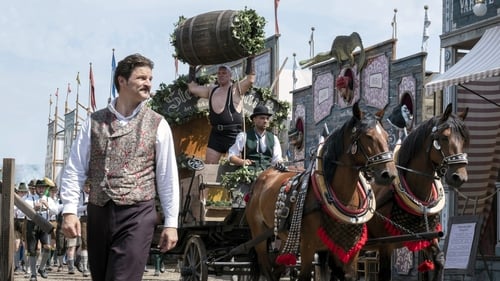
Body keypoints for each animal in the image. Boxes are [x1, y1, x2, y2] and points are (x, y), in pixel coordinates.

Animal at [246, 103, 398, 280]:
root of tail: (263, 176)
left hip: (286, 238)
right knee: (266, 268)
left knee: (277, 268)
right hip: (259, 235)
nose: (389, 174)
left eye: (387, 136)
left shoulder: (350, 250)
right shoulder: (308, 247)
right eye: (368, 136)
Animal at [368, 103, 468, 280]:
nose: (460, 177)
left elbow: (439, 260)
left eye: (463, 139)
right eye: (444, 137)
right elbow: (384, 274)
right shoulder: (385, 244)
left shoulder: (427, 236)